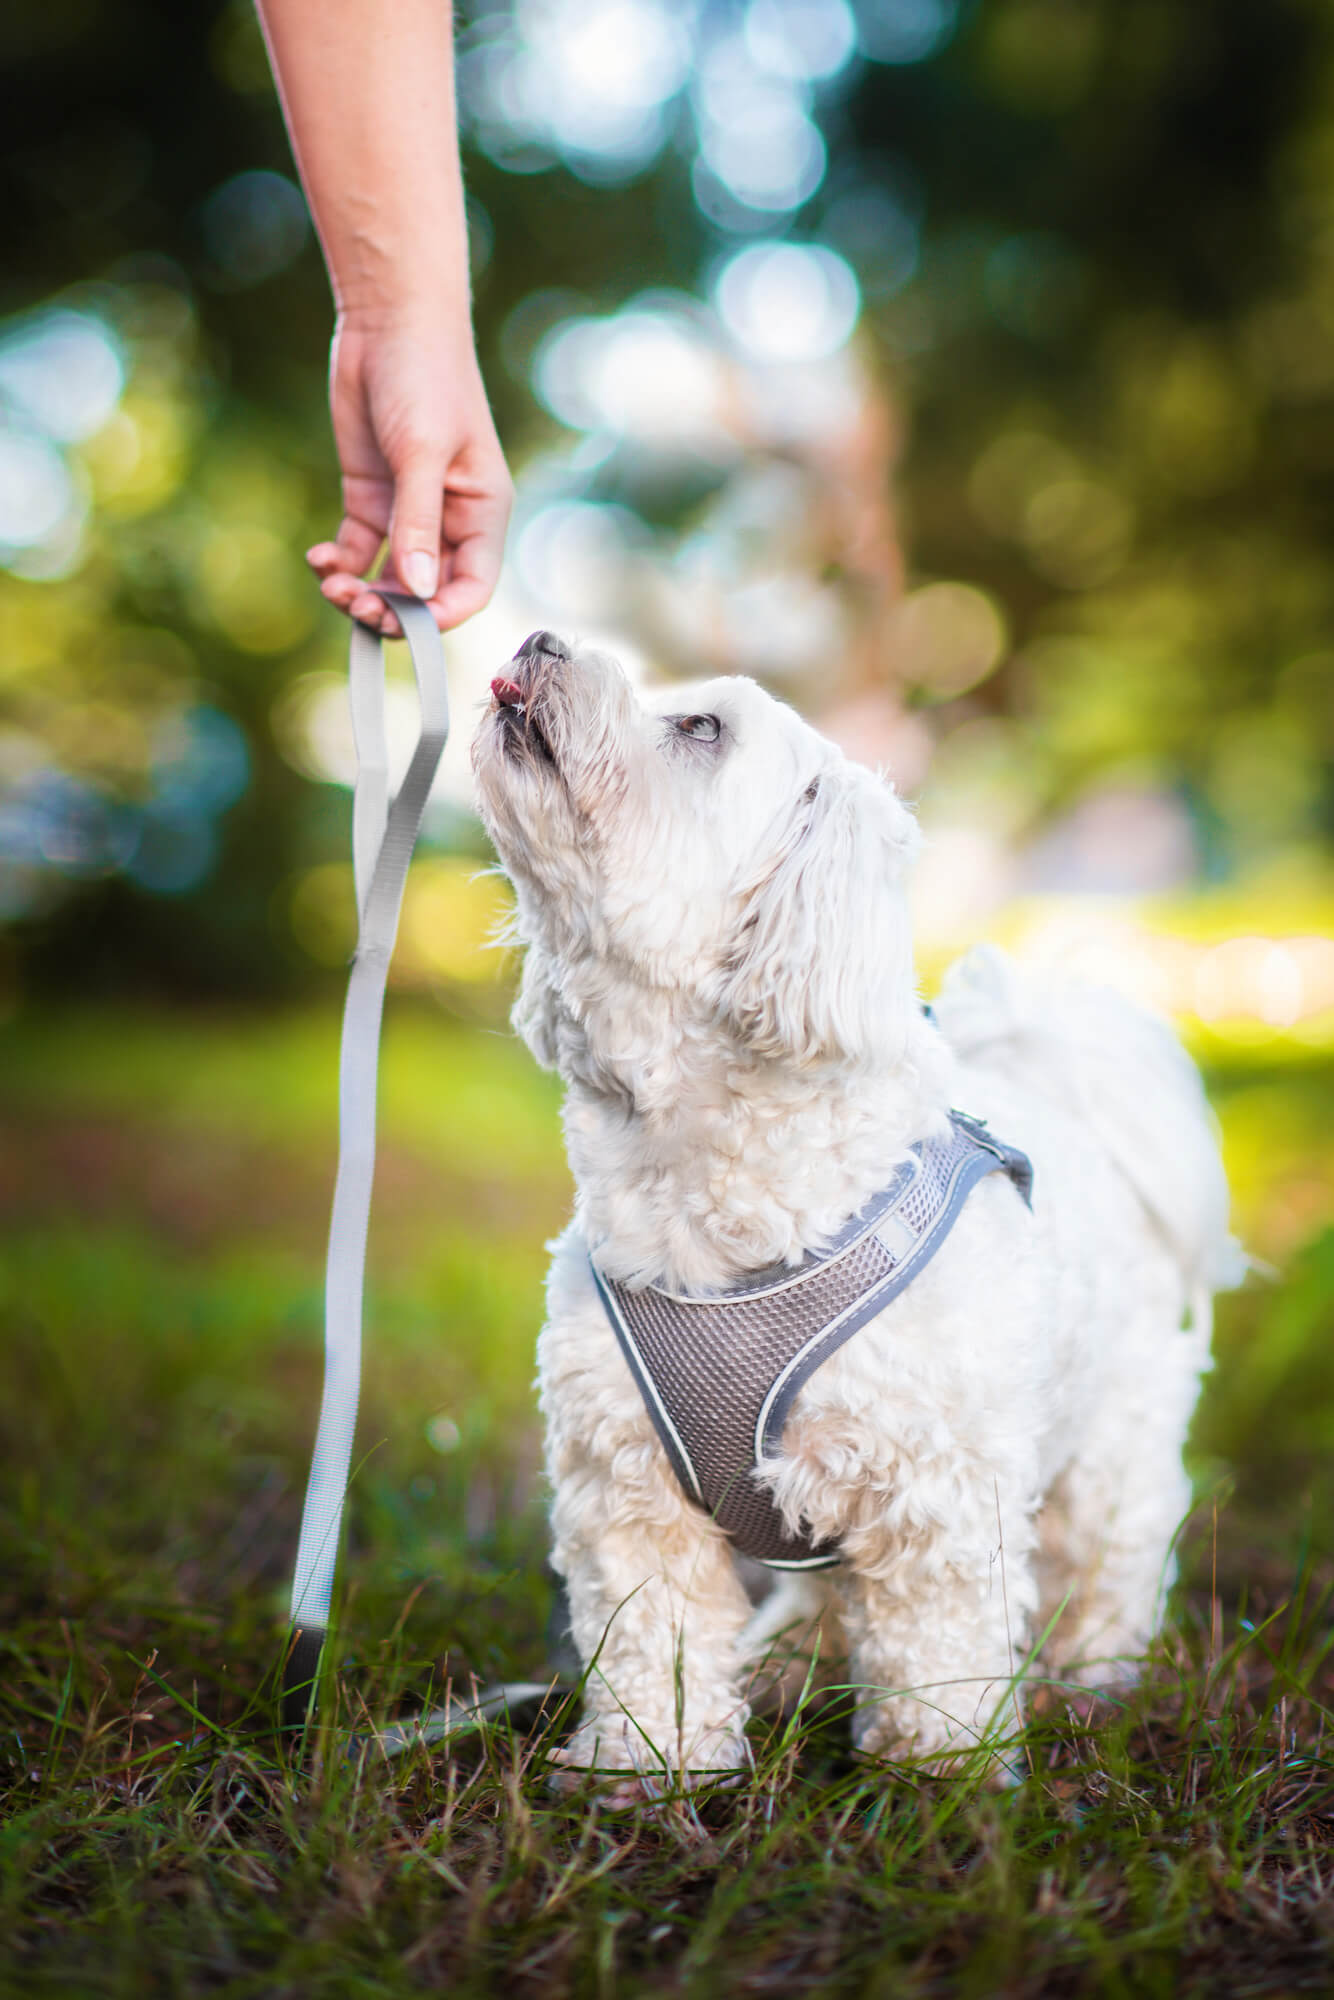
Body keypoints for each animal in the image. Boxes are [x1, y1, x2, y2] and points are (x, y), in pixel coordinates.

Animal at [470, 628, 1240, 1784]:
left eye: (700, 727)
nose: (536, 637)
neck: (715, 1188)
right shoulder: (627, 1482)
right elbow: (652, 1632)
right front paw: (648, 1760)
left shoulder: (934, 1486)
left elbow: (936, 1642)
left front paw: (943, 1771)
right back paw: (789, 1663)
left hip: (1113, 1443)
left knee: (1105, 1560)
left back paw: (1092, 1680)